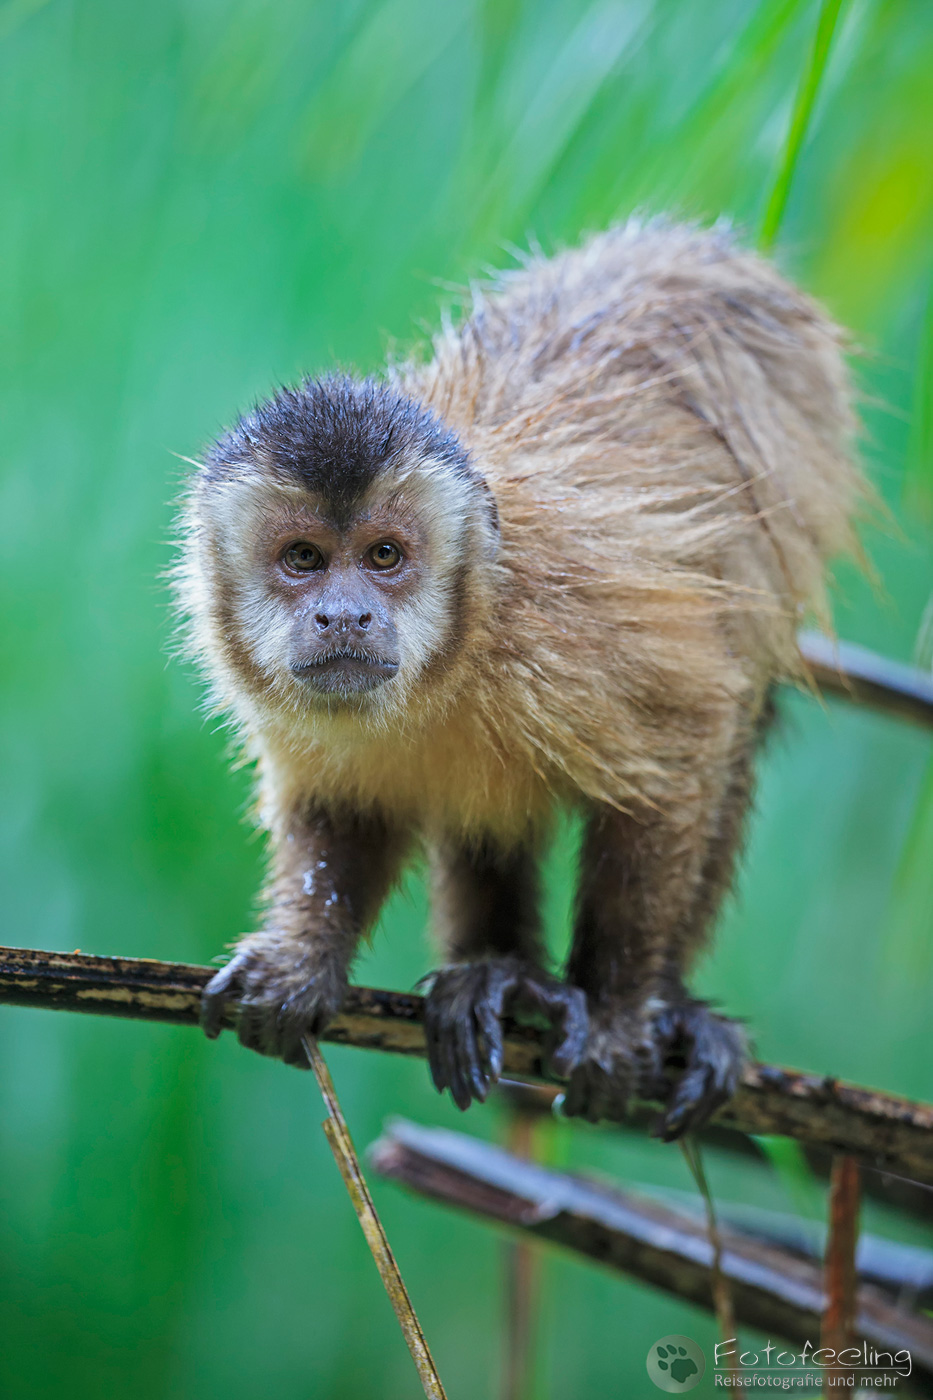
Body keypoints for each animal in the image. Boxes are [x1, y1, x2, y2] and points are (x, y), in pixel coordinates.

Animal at [176, 218, 866, 1138]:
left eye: (384, 556)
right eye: (302, 560)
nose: (344, 616)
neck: (467, 643)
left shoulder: (569, 631)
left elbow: (679, 762)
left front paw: (616, 1016)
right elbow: (342, 810)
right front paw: (302, 958)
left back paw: (665, 1006)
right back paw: (495, 975)